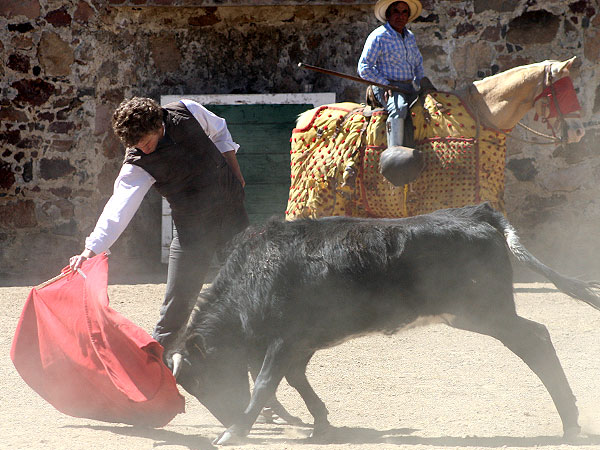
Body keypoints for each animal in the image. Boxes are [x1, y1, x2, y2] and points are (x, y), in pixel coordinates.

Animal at [170, 205, 600, 446]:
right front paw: (321, 423)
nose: (225, 416)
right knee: (537, 337)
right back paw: (570, 420)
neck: (255, 274)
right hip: (481, 314)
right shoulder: (300, 343)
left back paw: (569, 423)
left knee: (536, 340)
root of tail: (474, 213)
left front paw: (233, 432)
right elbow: (295, 379)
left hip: (485, 313)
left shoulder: (281, 339)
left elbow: (263, 384)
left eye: (202, 379)